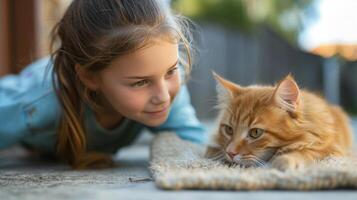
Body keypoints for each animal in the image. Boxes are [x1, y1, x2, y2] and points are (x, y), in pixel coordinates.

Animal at [204, 73, 352, 170]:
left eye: (255, 132)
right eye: (229, 130)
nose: (230, 153)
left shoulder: (331, 148)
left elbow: (309, 151)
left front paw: (285, 160)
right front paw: (216, 152)